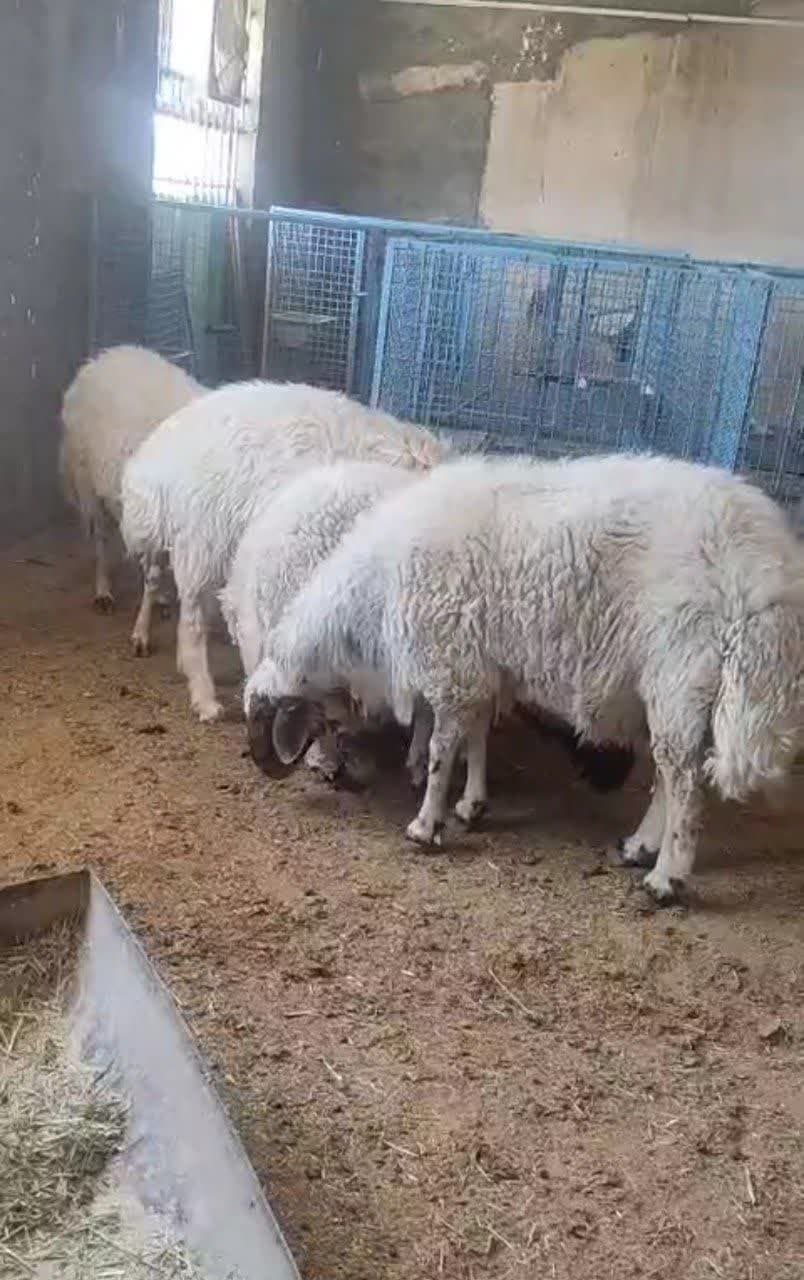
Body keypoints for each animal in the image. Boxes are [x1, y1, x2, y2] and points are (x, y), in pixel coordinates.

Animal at [59, 345, 202, 653]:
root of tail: (104, 357)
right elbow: (153, 575)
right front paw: (141, 635)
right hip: (89, 484)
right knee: (101, 540)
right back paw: (103, 592)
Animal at [243, 452, 804, 903]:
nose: (329, 771)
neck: (370, 599)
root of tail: (770, 570)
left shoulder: (451, 666)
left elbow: (441, 750)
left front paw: (426, 825)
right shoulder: (478, 666)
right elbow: (475, 738)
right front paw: (472, 804)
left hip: (683, 673)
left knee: (684, 781)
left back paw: (667, 878)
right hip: (675, 688)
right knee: (671, 774)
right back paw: (640, 846)